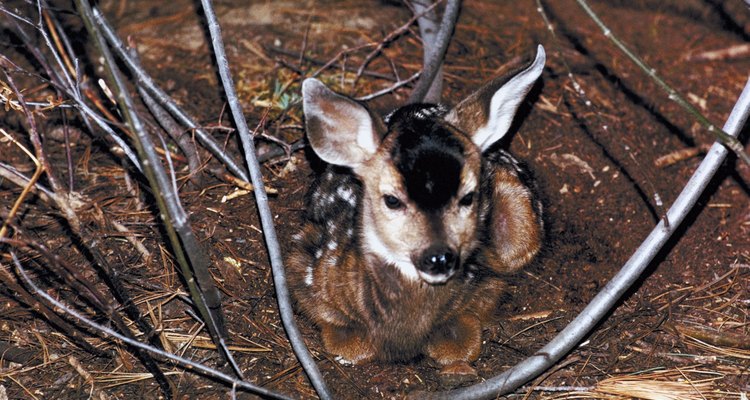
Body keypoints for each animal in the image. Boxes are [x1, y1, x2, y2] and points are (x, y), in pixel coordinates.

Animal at [288, 45, 548, 380]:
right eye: (391, 200)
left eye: (468, 197)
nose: (439, 258)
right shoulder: (306, 261)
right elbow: (347, 341)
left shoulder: (485, 279)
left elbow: (462, 339)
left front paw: (457, 362)